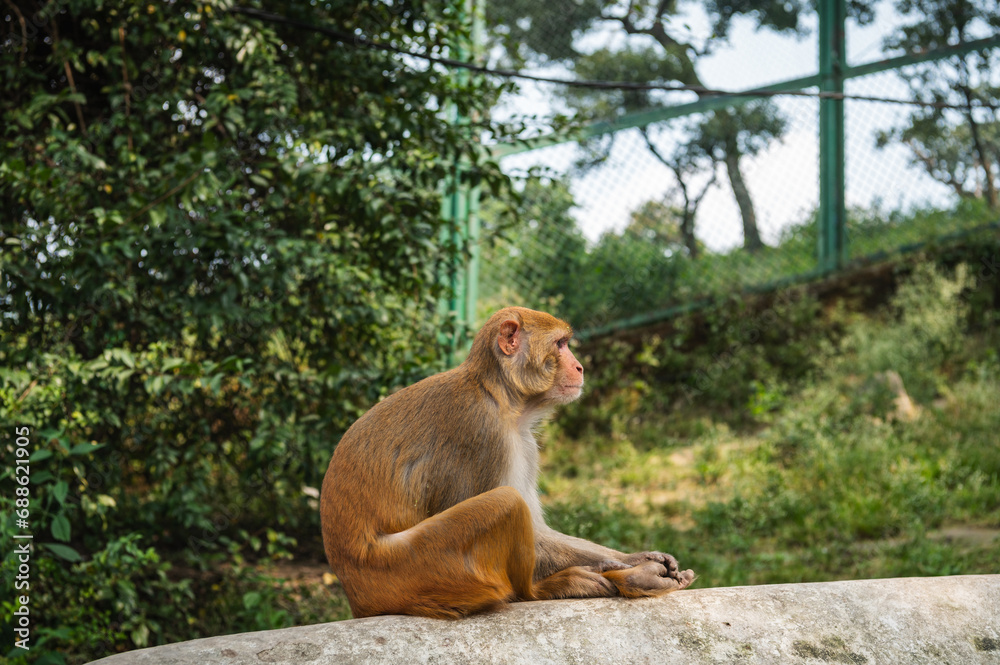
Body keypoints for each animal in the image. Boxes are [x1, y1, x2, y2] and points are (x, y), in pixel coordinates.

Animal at [322, 306, 696, 616]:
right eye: (560, 344)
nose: (580, 366)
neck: (500, 396)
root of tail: (356, 593)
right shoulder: (481, 432)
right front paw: (621, 566)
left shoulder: (525, 443)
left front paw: (637, 559)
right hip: (411, 568)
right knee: (505, 502)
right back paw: (550, 588)